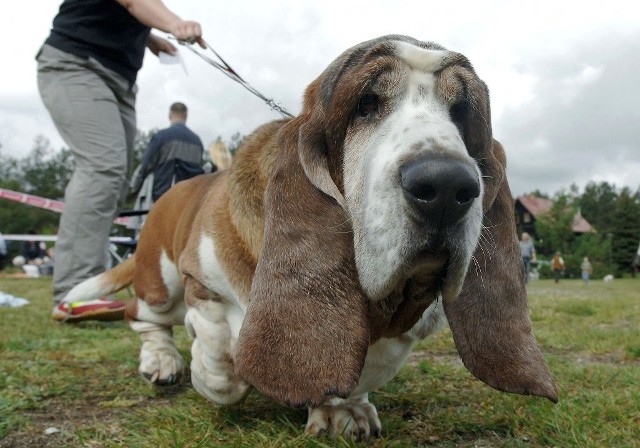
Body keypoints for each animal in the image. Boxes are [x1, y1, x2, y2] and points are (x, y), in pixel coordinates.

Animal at [62, 34, 556, 438]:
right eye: (366, 104)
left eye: (461, 114)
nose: (448, 187)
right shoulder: (200, 278)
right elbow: (221, 361)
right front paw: (211, 370)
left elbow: (358, 367)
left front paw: (344, 411)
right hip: (160, 279)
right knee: (143, 315)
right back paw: (161, 360)